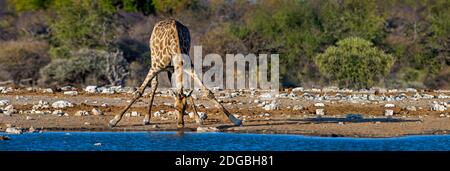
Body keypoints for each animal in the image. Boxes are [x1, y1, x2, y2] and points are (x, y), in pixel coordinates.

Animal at [108, 19, 243, 128]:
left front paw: (235, 120)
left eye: (185, 108)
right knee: (154, 84)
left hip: (172, 69)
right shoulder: (156, 67)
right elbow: (139, 92)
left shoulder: (188, 67)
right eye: (174, 107)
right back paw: (147, 118)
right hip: (154, 59)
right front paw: (114, 120)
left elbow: (206, 92)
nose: (180, 124)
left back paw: (197, 118)